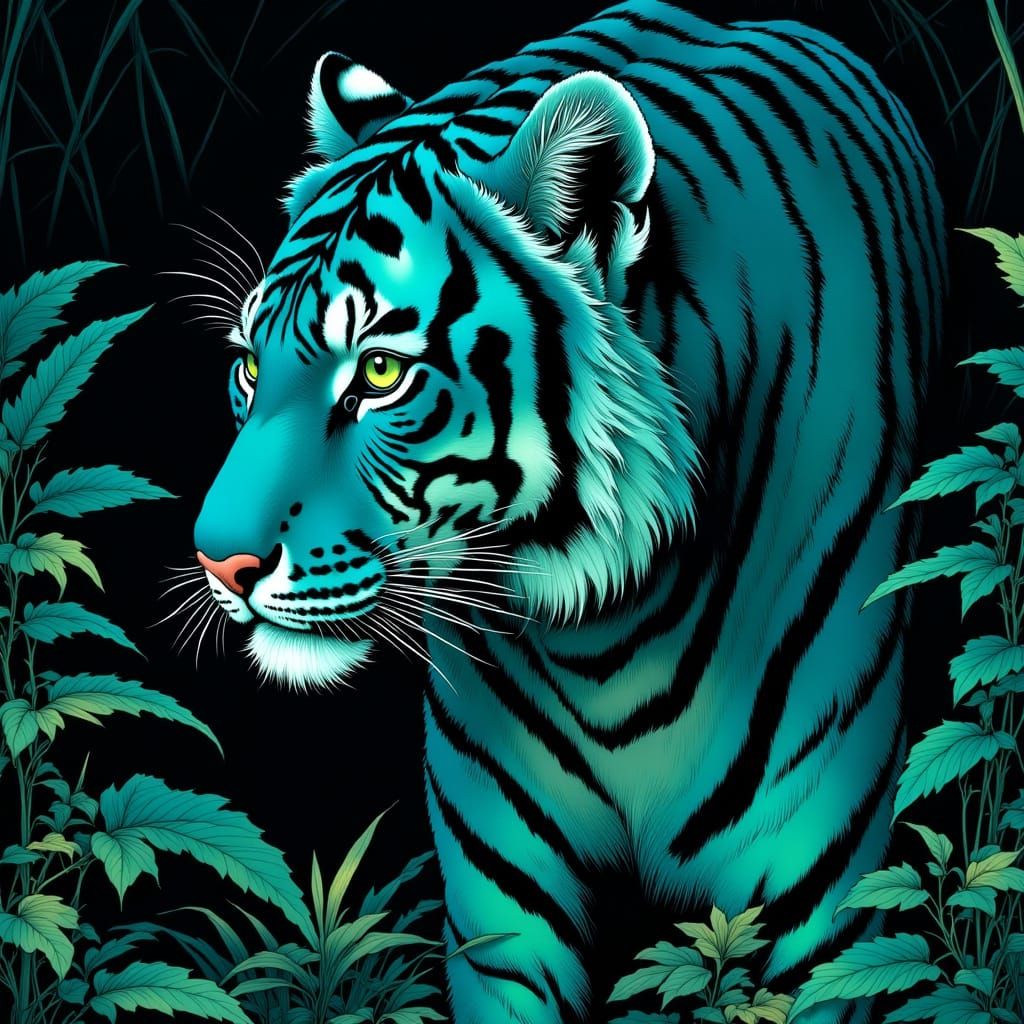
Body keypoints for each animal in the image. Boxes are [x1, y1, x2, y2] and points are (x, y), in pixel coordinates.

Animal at [191, 2, 945, 1022]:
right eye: (249, 366)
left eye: (380, 374)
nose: (217, 563)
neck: (609, 637)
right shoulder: (504, 906)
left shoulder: (826, 907)